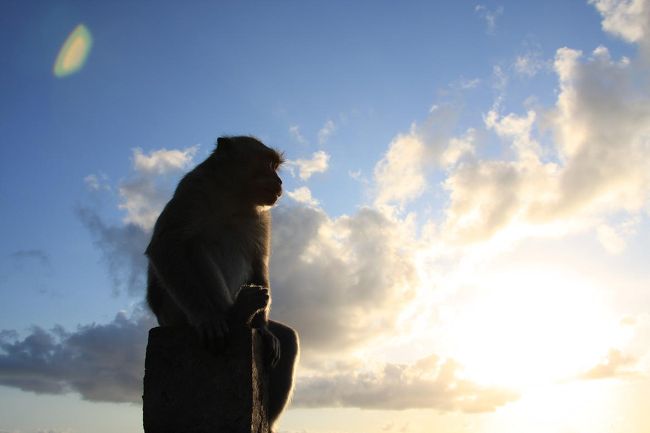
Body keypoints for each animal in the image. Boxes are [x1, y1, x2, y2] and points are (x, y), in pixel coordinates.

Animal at [145, 136, 299, 428]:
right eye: (269, 164)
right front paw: (207, 317)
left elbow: (258, 261)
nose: (280, 181)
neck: (234, 198)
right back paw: (234, 315)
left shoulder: (262, 217)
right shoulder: (193, 190)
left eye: (276, 166)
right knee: (197, 246)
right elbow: (166, 246)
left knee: (288, 339)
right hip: (175, 314)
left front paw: (263, 330)